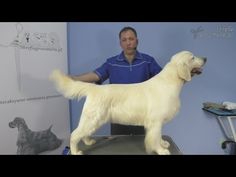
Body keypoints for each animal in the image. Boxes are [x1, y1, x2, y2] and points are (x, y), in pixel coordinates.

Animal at [50, 50, 206, 155]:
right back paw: (76, 151)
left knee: (83, 133)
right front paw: (160, 150)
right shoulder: (155, 121)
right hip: (92, 118)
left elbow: (159, 136)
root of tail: (94, 88)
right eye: (192, 57)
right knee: (75, 134)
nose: (205, 58)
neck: (170, 81)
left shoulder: (158, 122)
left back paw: (88, 141)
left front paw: (163, 143)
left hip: (93, 120)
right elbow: (154, 138)